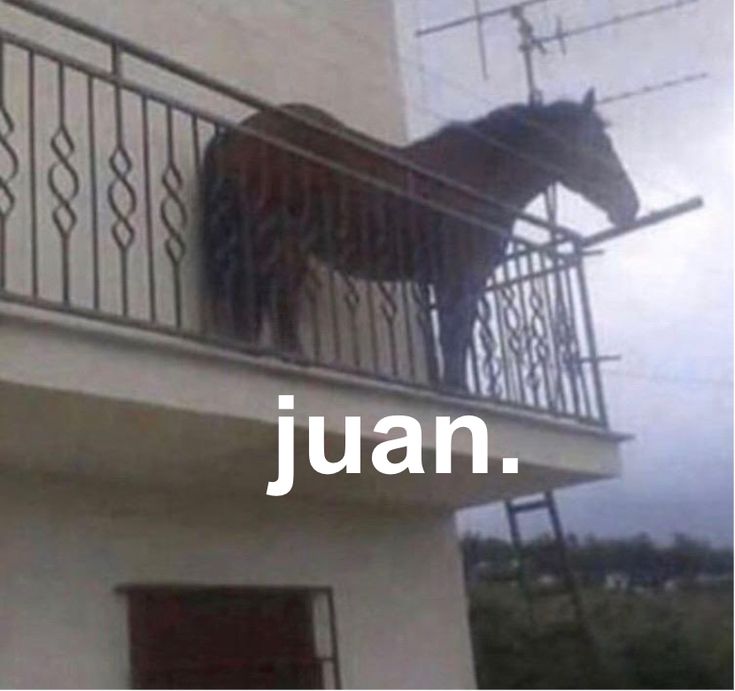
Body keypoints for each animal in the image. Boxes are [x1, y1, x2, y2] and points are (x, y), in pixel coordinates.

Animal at [200, 88, 640, 390]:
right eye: (598, 144)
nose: (630, 205)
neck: (477, 179)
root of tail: (238, 133)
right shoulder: (461, 277)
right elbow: (455, 335)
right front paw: (457, 391)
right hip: (278, 242)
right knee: (275, 303)